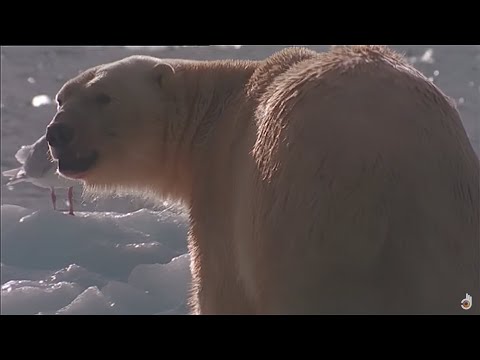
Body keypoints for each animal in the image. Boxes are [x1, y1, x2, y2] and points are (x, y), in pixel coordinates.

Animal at [46, 45, 480, 316]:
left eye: (103, 97)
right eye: (61, 97)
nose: (56, 132)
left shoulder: (224, 187)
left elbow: (221, 289)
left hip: (304, 226)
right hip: (451, 230)